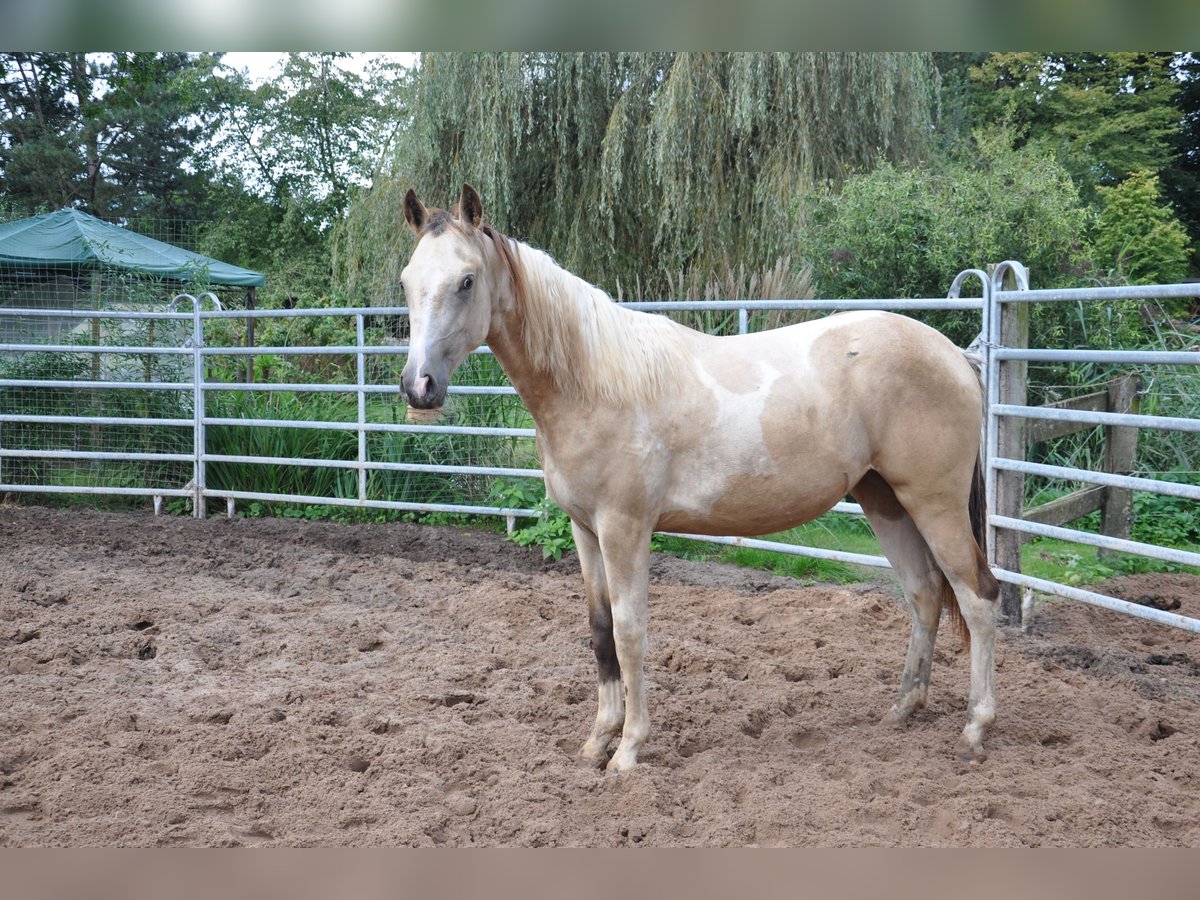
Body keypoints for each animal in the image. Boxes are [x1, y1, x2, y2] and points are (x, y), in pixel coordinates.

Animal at [398, 184, 998, 777]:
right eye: (406, 280)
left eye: (467, 280)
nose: (418, 386)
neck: (594, 383)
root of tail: (954, 355)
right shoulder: (585, 531)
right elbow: (600, 631)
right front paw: (597, 740)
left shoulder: (624, 530)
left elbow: (630, 632)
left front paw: (628, 749)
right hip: (885, 500)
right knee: (924, 595)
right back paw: (903, 709)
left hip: (933, 503)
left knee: (977, 598)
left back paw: (975, 729)